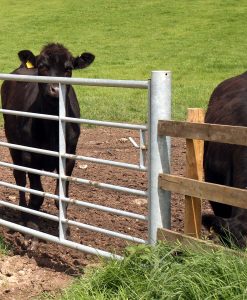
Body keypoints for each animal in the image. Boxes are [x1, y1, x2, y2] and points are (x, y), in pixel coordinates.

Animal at [0, 43, 95, 227]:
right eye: (42, 66)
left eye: (68, 68)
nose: (55, 89)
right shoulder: (30, 156)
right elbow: (37, 195)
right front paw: (32, 224)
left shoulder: (69, 156)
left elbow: (61, 198)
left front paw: (65, 228)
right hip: (13, 143)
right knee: (19, 177)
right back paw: (23, 212)